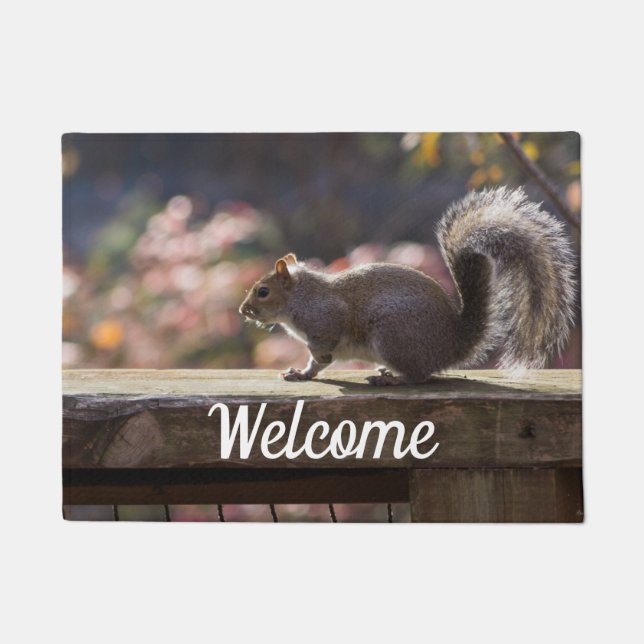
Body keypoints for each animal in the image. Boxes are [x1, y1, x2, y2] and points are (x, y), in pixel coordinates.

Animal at [239, 187, 576, 385]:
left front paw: (317, 361)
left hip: (393, 334)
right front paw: (302, 373)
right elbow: (315, 365)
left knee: (419, 377)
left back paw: (391, 379)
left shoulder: (325, 317)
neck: (299, 297)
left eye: (263, 292)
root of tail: (455, 342)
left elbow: (323, 347)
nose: (244, 310)